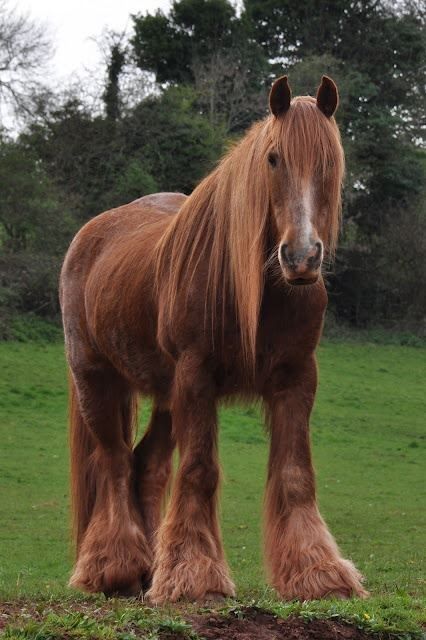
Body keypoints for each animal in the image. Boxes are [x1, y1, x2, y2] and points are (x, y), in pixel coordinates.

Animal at [59, 76, 366, 604]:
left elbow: (295, 475)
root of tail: (90, 234)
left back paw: (147, 569)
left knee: (145, 465)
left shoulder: (297, 377)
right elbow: (200, 470)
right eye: (273, 158)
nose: (301, 257)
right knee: (114, 462)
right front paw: (195, 577)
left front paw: (317, 572)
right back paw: (113, 568)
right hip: (95, 379)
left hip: (166, 395)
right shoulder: (196, 375)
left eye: (330, 160)